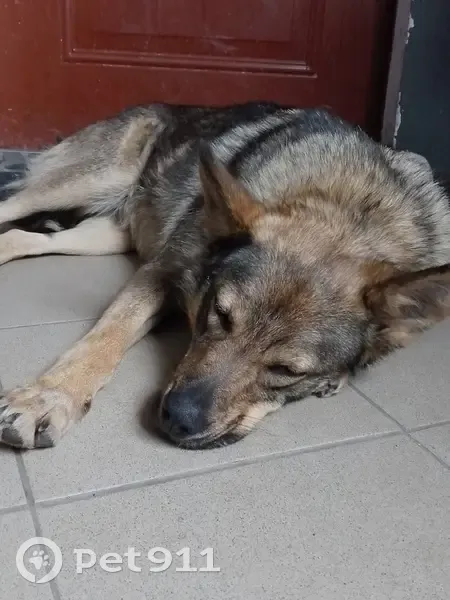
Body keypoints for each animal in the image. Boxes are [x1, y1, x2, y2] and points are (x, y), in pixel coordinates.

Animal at [0, 102, 449, 450]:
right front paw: (50, 397)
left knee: (20, 238)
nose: (177, 419)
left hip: (105, 235)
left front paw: (336, 379)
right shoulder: (162, 270)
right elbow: (106, 337)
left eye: (288, 371)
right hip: (87, 182)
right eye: (218, 314)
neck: (349, 206)